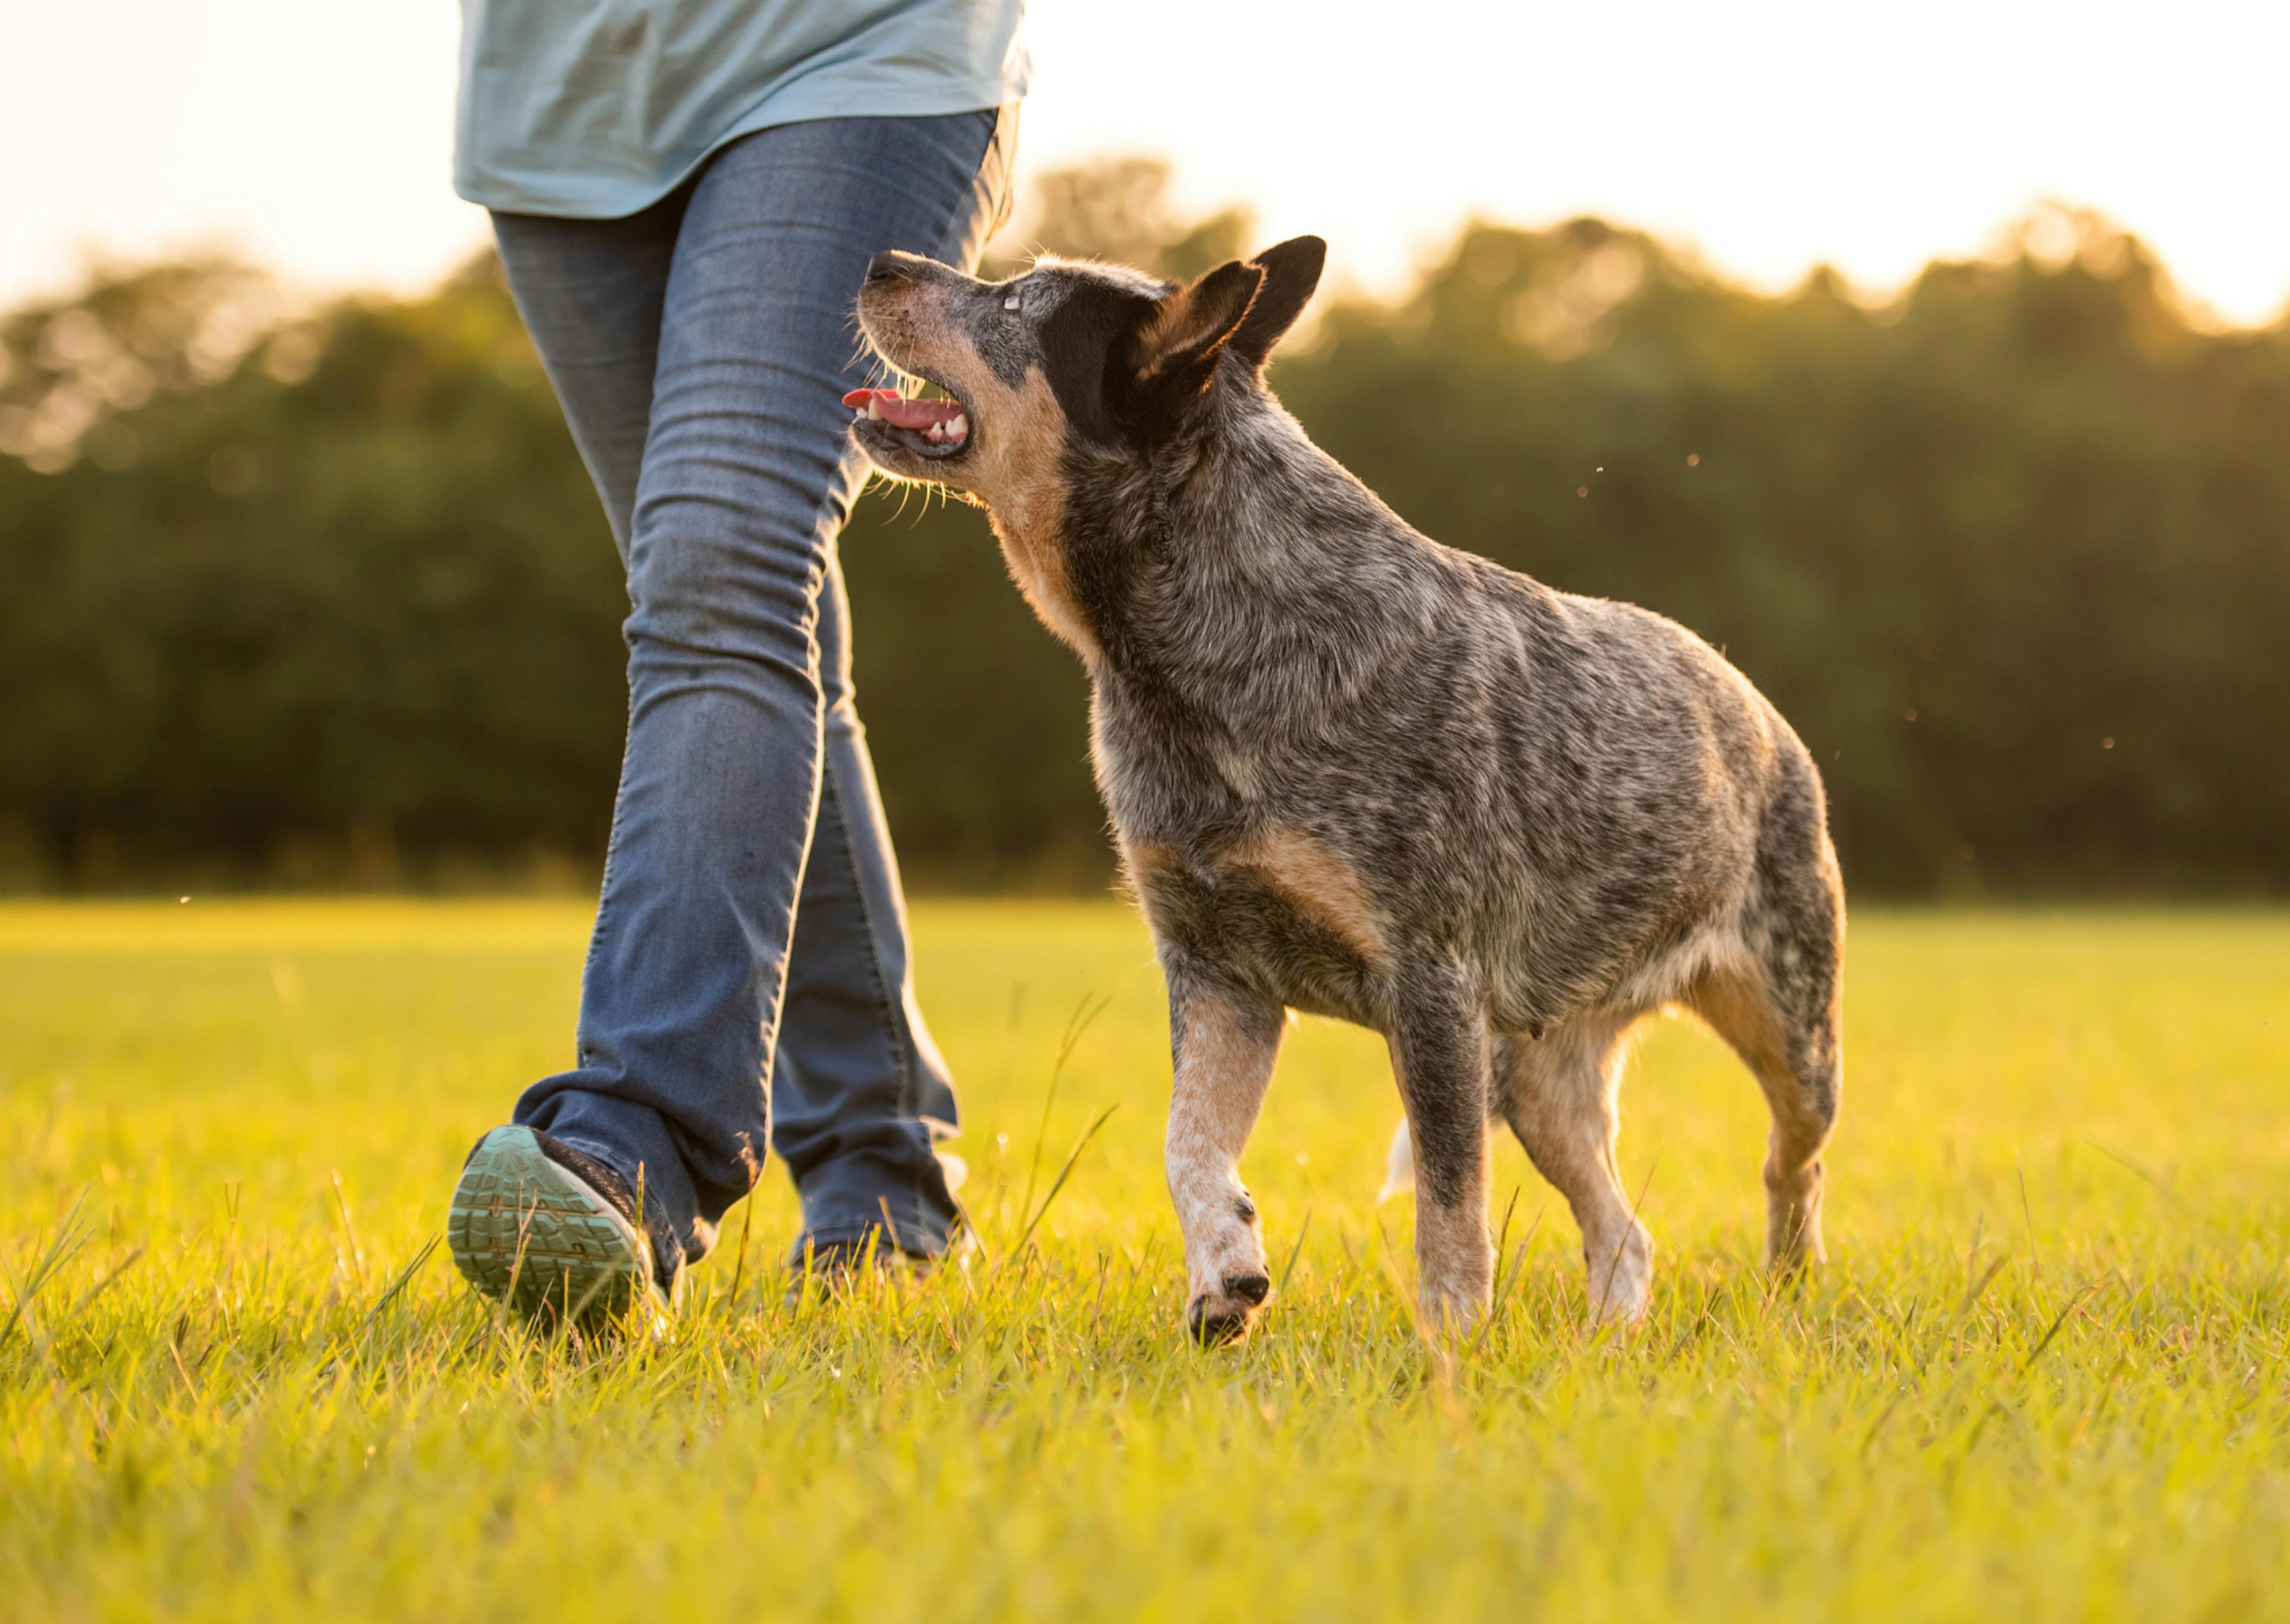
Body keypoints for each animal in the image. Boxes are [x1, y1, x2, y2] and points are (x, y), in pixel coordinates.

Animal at [847, 231, 1841, 1347]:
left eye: (1019, 302)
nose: (883, 258)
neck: (1203, 649)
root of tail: (1753, 700)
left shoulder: (1431, 982)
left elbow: (1449, 1206)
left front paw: (1450, 1352)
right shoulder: (1218, 969)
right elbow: (1186, 1143)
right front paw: (1225, 1273)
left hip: (1791, 1024)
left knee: (1791, 1163)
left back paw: (1790, 1283)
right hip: (1535, 1072)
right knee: (1625, 1232)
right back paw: (1612, 1340)